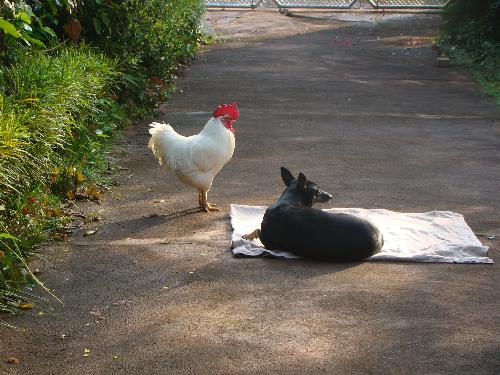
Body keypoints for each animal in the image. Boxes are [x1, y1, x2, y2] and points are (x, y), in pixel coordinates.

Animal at [244, 167, 384, 262]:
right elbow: (257, 230)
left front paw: (248, 235)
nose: (331, 196)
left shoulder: (267, 243)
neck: (286, 201)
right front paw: (248, 235)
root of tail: (380, 238)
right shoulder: (267, 242)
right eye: (317, 190)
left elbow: (257, 230)